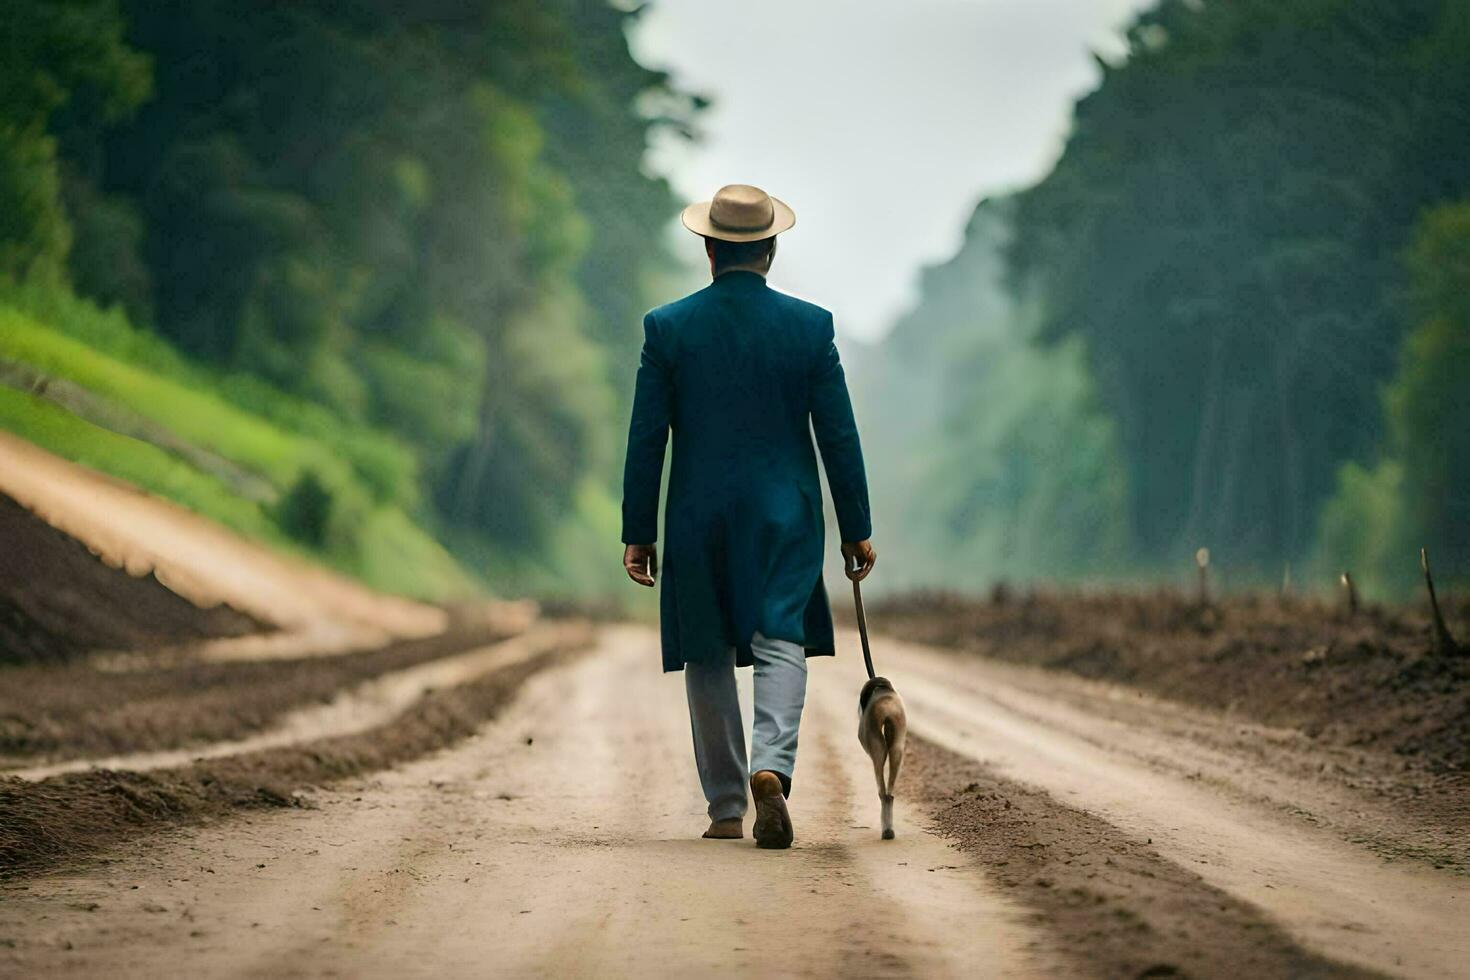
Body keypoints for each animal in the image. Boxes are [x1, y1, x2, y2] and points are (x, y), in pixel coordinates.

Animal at [858, 678, 899, 840]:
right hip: (897, 747)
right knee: (889, 794)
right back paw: (889, 828)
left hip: (877, 749)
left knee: (882, 792)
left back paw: (886, 830)